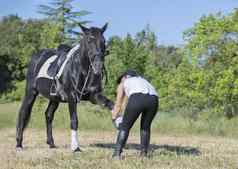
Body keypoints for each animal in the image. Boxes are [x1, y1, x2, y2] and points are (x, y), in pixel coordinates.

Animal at [16, 23, 114, 151]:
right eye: (89, 40)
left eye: (103, 41)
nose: (98, 66)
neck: (81, 70)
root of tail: (36, 56)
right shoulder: (72, 98)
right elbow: (74, 120)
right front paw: (75, 147)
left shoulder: (94, 96)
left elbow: (111, 104)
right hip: (31, 92)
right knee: (23, 113)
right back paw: (19, 144)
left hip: (54, 98)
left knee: (48, 115)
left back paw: (51, 143)